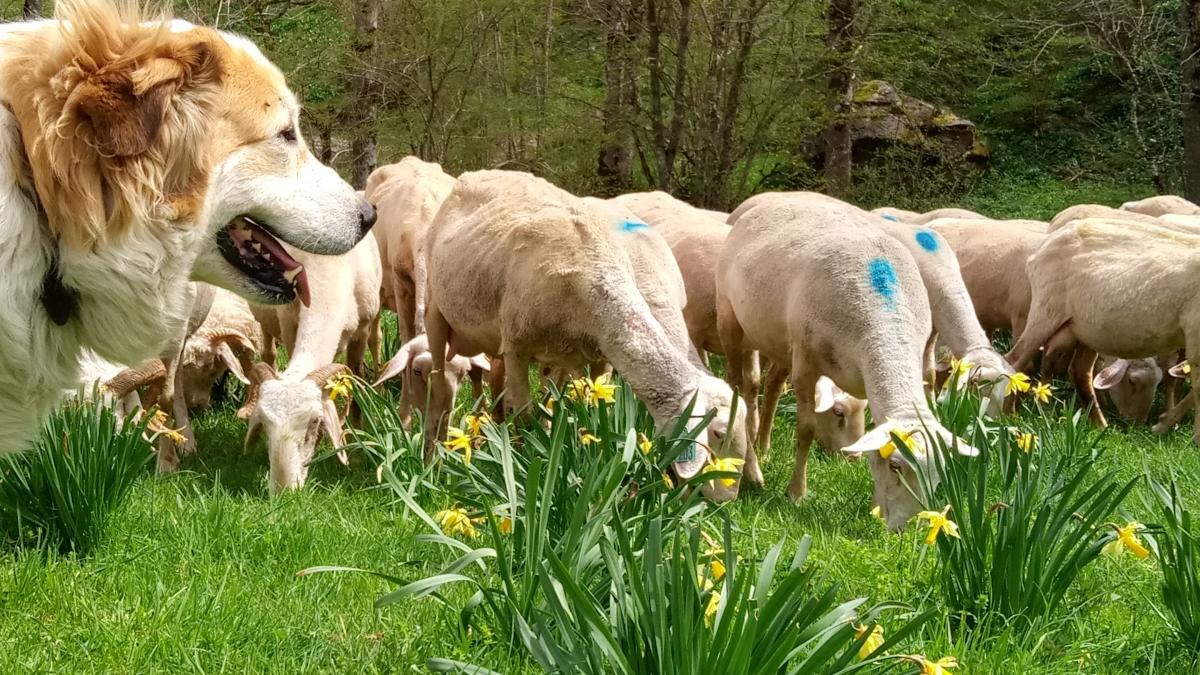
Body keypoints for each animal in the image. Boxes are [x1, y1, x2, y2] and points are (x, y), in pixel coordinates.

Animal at [237, 230, 379, 487]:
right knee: (269, 352)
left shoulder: (362, 330)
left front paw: (356, 450)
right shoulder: (289, 325)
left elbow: (356, 388)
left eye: (314, 422)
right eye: (264, 423)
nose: (284, 490)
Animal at [417, 170, 744, 497]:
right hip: (436, 308)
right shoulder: (516, 347)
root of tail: (476, 174)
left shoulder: (600, 357)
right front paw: (520, 472)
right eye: (718, 433)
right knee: (440, 387)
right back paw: (432, 462)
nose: (726, 499)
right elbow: (522, 415)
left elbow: (594, 413)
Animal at [1003, 216, 1200, 437]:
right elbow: (1198, 390)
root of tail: (1044, 245)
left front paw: (1164, 425)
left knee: (1080, 372)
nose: (1138, 423)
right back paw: (1006, 416)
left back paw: (1100, 425)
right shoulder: (1194, 330)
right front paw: (1190, 434)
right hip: (1046, 310)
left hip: (1085, 330)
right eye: (1132, 382)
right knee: (1015, 359)